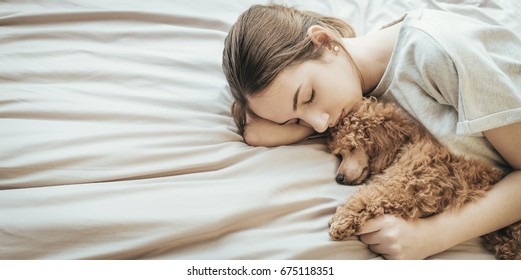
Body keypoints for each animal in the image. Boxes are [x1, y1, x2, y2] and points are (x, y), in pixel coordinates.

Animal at [328, 97, 516, 260]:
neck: (404, 146)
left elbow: (366, 197)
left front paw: (341, 220)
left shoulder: (403, 185)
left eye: (353, 148)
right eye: (339, 154)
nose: (339, 178)